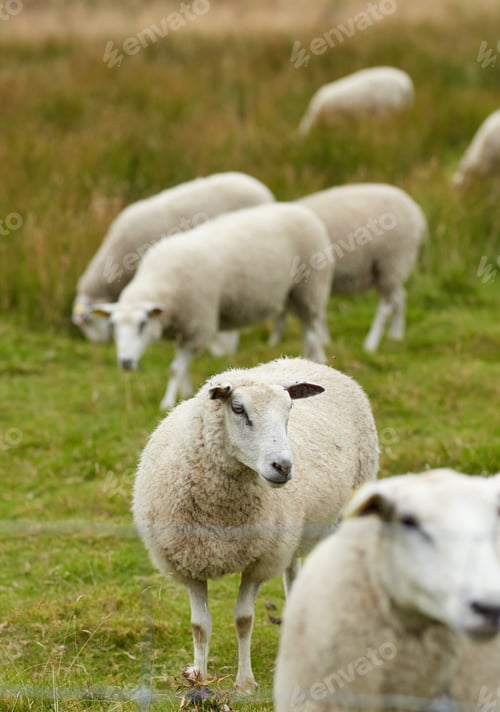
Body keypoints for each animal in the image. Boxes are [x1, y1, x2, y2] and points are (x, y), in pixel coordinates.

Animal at [91, 202, 334, 411]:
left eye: (143, 324)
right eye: (112, 326)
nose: (125, 363)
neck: (164, 281)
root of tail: (300, 208)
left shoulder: (198, 325)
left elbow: (174, 370)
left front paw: (166, 403)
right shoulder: (184, 329)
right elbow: (182, 370)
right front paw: (184, 394)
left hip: (310, 286)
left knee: (312, 329)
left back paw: (317, 359)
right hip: (296, 292)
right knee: (306, 327)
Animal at [132, 356, 379, 690]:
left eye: (289, 408)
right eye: (238, 409)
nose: (283, 466)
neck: (221, 518)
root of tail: (302, 360)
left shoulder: (260, 562)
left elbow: (243, 620)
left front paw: (245, 683)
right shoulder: (189, 562)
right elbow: (199, 625)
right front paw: (199, 678)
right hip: (290, 535)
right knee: (293, 573)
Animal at [271, 183, 427, 353]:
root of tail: (417, 212)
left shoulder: (311, 281)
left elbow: (303, 314)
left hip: (392, 261)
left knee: (385, 307)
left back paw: (370, 344)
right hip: (388, 270)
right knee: (400, 296)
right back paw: (396, 336)